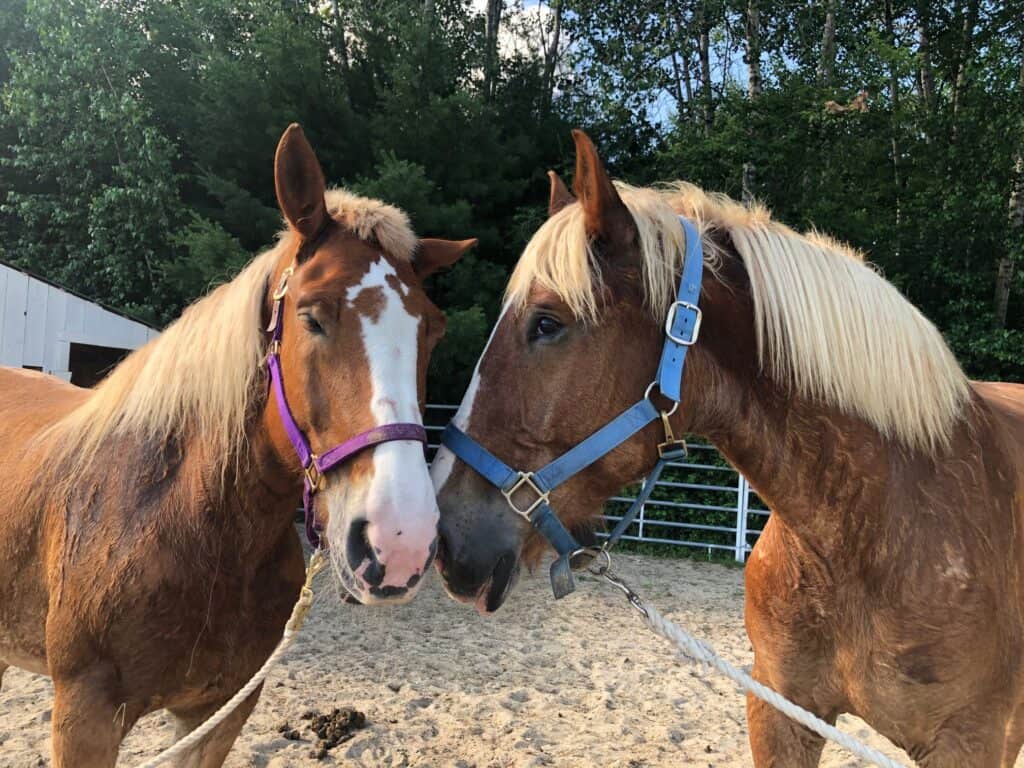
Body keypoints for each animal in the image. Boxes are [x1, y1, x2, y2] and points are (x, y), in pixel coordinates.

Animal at [0, 123, 475, 765]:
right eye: (311, 317)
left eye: (433, 331)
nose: (399, 542)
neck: (181, 521)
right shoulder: (84, 720)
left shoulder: (218, 712)